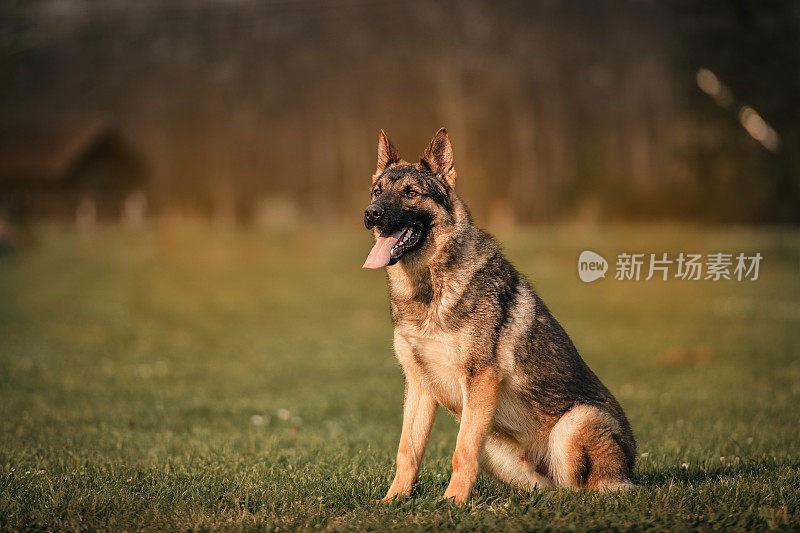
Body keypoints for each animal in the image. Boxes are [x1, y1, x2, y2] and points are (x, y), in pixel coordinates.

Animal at [364, 129, 636, 502]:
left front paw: (452, 503)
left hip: (575, 421)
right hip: (494, 446)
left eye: (411, 193)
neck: (430, 289)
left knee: (585, 490)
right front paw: (394, 500)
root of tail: (630, 469)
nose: (371, 213)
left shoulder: (480, 379)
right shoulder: (419, 385)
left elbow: (461, 452)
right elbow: (408, 451)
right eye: (378, 191)